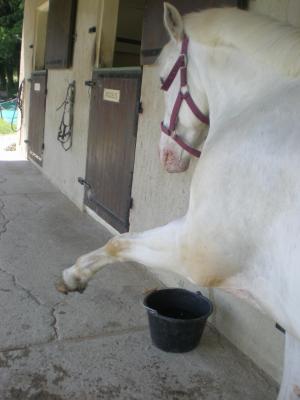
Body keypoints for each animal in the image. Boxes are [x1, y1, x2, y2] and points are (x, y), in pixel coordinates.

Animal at [58, 3, 300, 400]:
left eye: (162, 81)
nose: (166, 155)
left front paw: (74, 275)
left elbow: (118, 241)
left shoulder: (195, 251)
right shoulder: (293, 330)